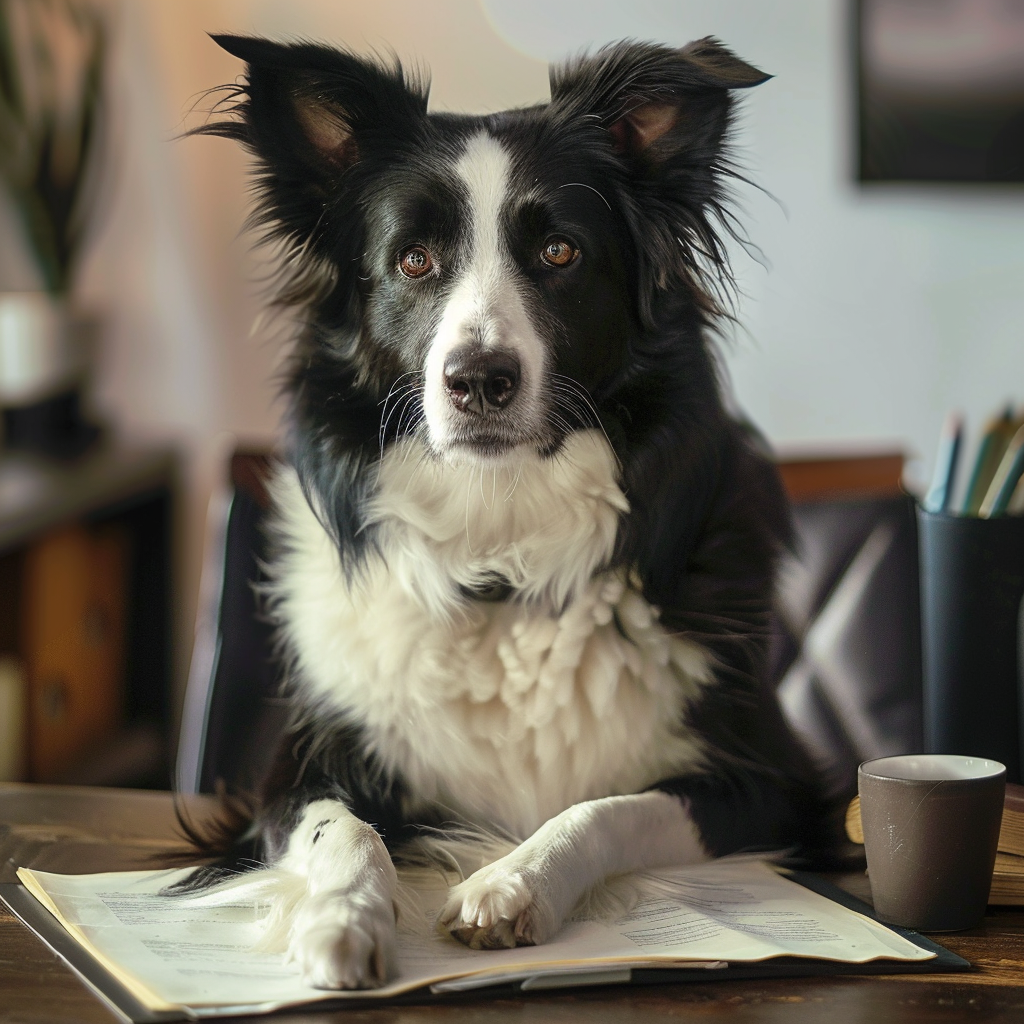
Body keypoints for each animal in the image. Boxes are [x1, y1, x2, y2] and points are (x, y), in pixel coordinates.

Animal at [184, 36, 823, 987]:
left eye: (559, 251)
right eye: (413, 260)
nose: (478, 380)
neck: (500, 552)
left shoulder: (774, 783)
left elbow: (613, 804)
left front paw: (513, 882)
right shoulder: (287, 775)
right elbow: (344, 827)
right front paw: (343, 918)